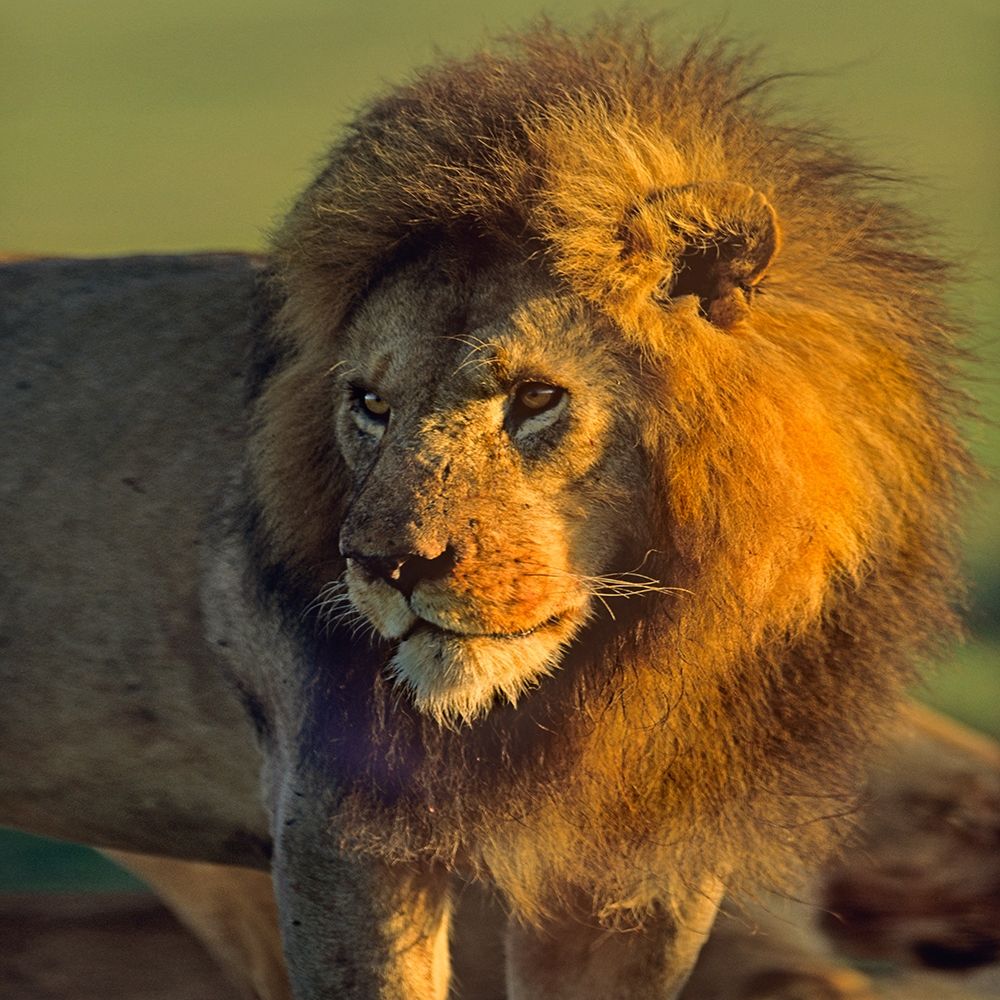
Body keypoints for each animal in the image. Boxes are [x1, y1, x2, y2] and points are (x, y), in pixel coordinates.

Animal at [0, 21, 975, 1000]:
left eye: (537, 397)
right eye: (370, 403)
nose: (386, 566)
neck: (618, 667)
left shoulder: (646, 871)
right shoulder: (337, 825)